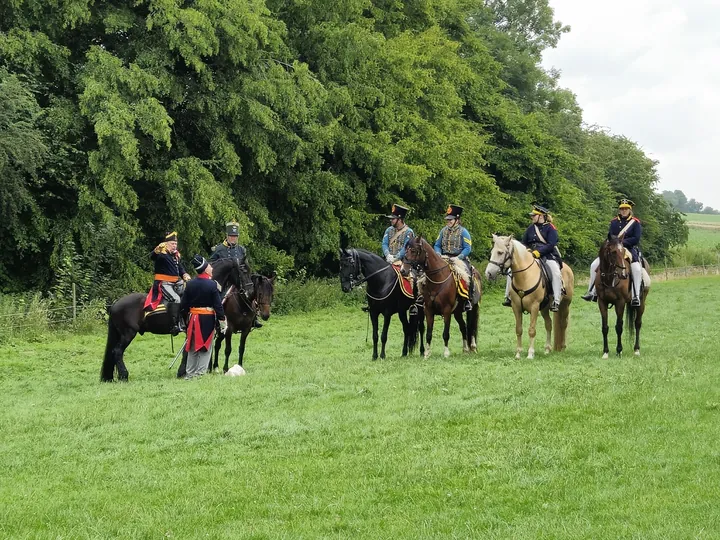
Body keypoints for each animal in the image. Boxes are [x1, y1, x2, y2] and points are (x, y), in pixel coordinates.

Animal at [100, 258, 253, 382]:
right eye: (243, 270)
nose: (250, 292)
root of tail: (115, 304)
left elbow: (187, 351)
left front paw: (183, 372)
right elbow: (187, 351)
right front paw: (183, 372)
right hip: (128, 334)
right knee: (117, 352)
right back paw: (124, 375)